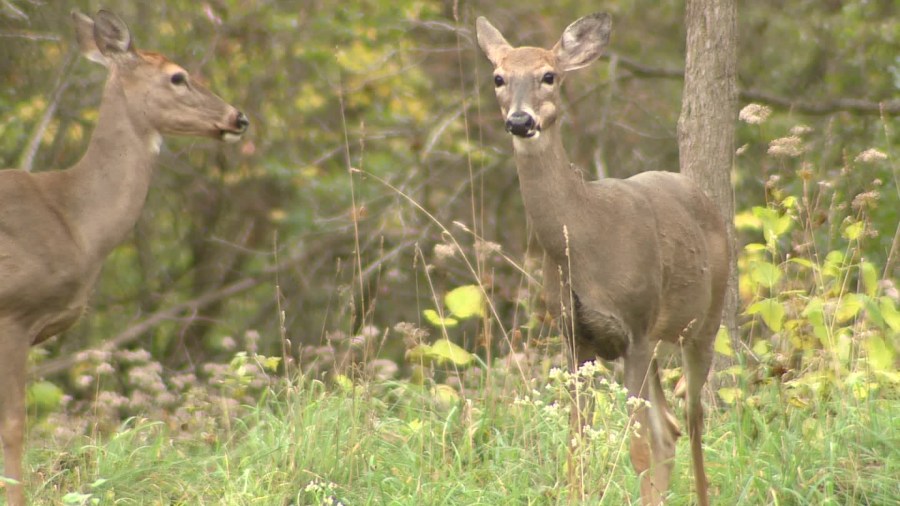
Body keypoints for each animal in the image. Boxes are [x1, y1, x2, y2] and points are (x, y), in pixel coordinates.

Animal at [476, 13, 728, 506]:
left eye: (549, 76)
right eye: (498, 78)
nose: (520, 120)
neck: (585, 237)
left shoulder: (635, 325)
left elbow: (639, 450)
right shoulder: (577, 337)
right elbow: (576, 444)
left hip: (703, 321)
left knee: (691, 422)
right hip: (656, 342)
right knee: (670, 428)